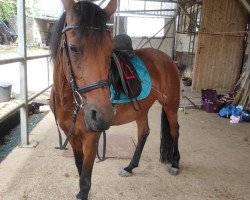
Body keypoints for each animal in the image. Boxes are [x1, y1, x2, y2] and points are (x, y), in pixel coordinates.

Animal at [49, 0, 181, 199]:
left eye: (109, 51)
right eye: (73, 48)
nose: (102, 116)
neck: (69, 101)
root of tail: (167, 59)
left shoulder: (91, 137)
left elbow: (85, 178)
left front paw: (83, 192)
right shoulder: (71, 135)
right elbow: (80, 168)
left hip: (171, 105)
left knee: (175, 131)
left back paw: (175, 164)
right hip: (141, 109)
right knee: (144, 133)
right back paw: (130, 167)